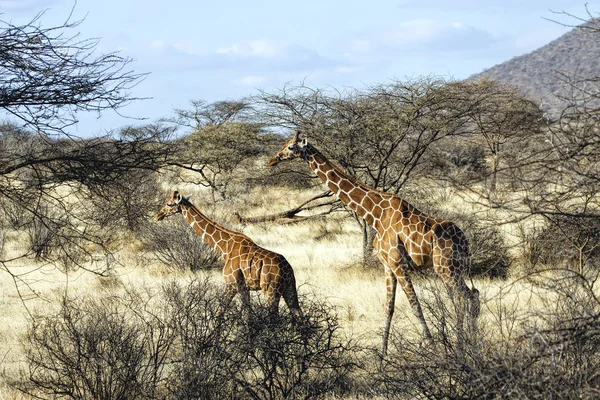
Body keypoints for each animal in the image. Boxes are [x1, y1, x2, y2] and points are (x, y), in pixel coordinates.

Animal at [156, 192, 302, 320]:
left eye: (169, 204)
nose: (158, 215)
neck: (224, 247)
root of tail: (287, 269)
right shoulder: (244, 288)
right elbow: (246, 315)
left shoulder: (233, 285)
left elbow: (221, 313)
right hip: (290, 288)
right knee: (299, 315)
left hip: (270, 291)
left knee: (275, 319)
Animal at [270, 131, 480, 356]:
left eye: (291, 147)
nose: (273, 159)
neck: (375, 214)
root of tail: (465, 241)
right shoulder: (387, 265)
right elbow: (389, 308)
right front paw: (381, 355)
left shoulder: (399, 263)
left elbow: (415, 306)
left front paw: (433, 350)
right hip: (453, 268)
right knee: (471, 297)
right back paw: (470, 345)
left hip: (445, 268)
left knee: (465, 298)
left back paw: (462, 348)